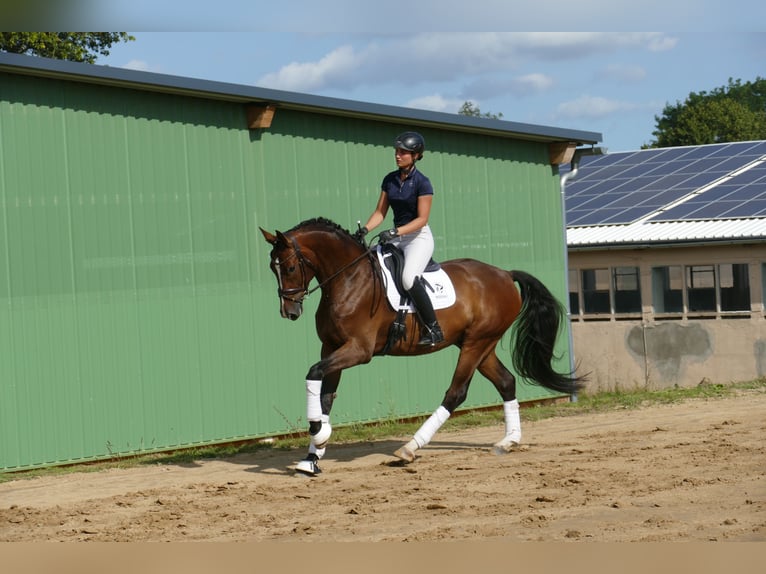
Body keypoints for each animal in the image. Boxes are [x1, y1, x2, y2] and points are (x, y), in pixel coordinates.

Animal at [260, 217, 584, 476]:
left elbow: (313, 374)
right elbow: (325, 395)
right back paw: (508, 441)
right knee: (505, 382)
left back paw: (410, 447)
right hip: (480, 344)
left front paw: (319, 432)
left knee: (456, 393)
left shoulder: (358, 350)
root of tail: (504, 274)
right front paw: (313, 455)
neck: (348, 279)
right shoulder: (331, 347)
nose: (289, 312)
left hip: (476, 343)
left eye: (290, 266)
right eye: (272, 269)